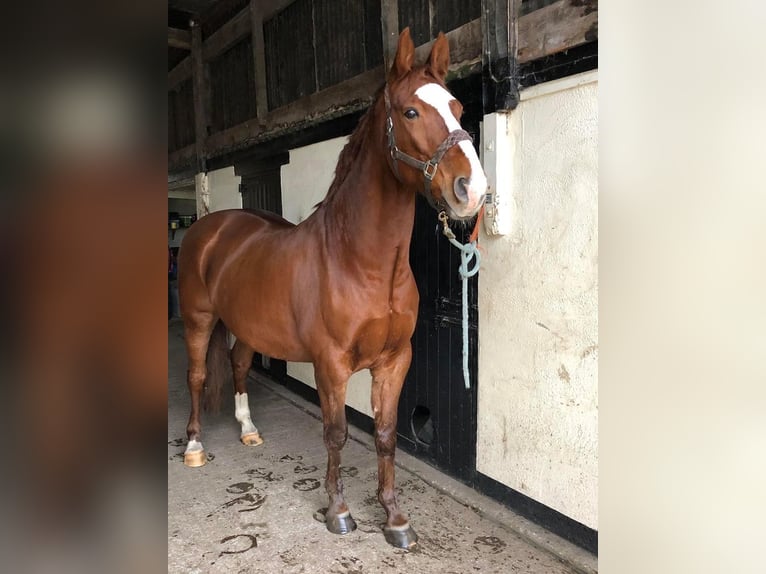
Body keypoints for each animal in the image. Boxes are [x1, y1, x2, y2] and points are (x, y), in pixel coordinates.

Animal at [178, 28, 487, 549]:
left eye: (458, 108)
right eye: (410, 112)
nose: (474, 190)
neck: (361, 263)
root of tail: (210, 227)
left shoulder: (394, 360)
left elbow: (385, 434)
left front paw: (395, 518)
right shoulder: (331, 364)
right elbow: (337, 433)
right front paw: (338, 511)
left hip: (247, 325)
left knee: (238, 363)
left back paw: (248, 430)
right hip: (199, 320)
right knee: (198, 377)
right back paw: (195, 446)